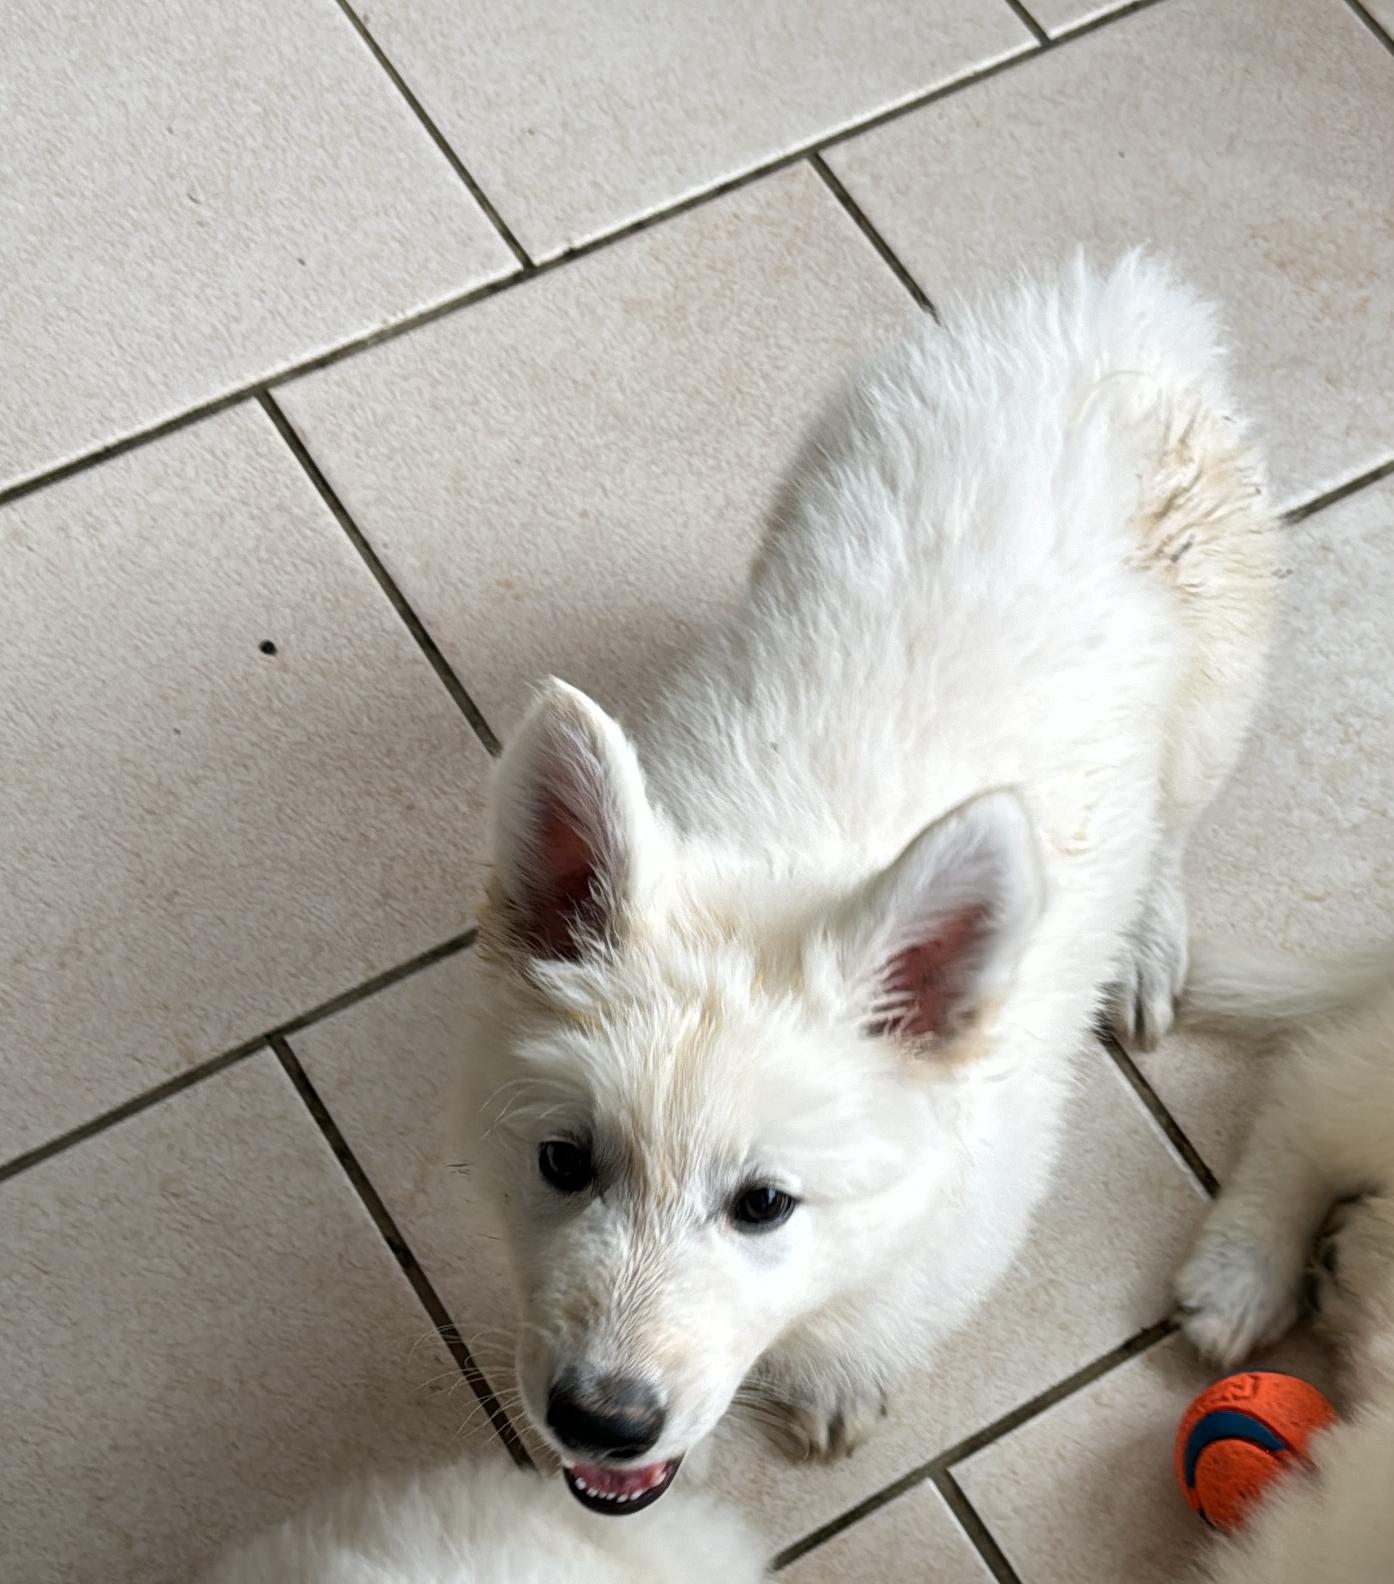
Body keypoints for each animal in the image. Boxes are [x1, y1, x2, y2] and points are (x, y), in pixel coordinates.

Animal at [463, 254, 1275, 1515]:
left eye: (762, 1204)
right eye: (561, 1161)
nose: (600, 1420)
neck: (783, 860)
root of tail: (1113, 303)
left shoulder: (960, 1212)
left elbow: (870, 1320)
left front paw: (836, 1381)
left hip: (1217, 684)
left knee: (1177, 822)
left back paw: (1146, 944)